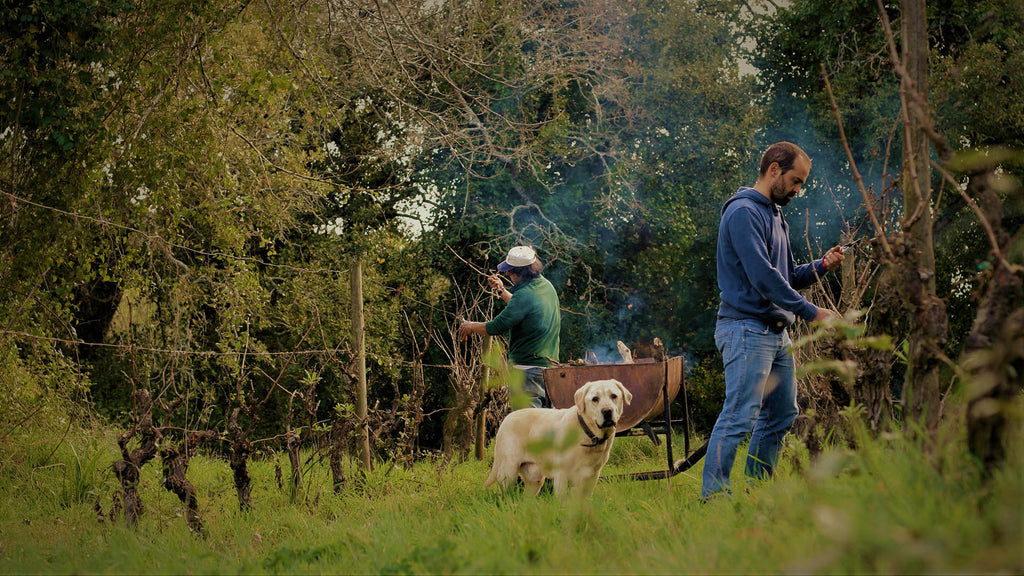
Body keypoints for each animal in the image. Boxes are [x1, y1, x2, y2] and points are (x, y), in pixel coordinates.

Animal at [481, 379, 630, 496]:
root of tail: (506, 418)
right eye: (595, 399)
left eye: (614, 396)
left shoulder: (592, 476)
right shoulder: (561, 475)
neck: (588, 434)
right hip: (508, 471)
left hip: (534, 480)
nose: (607, 411)